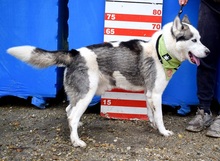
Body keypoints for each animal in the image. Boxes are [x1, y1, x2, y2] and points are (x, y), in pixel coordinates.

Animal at [7, 15, 210, 147]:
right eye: (193, 40)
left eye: (200, 39)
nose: (208, 52)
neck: (163, 50)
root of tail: (74, 53)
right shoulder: (156, 94)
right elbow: (159, 116)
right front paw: (163, 131)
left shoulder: (149, 94)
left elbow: (151, 114)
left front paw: (153, 125)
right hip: (86, 94)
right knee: (72, 114)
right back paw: (76, 141)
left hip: (81, 94)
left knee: (69, 111)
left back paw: (76, 128)